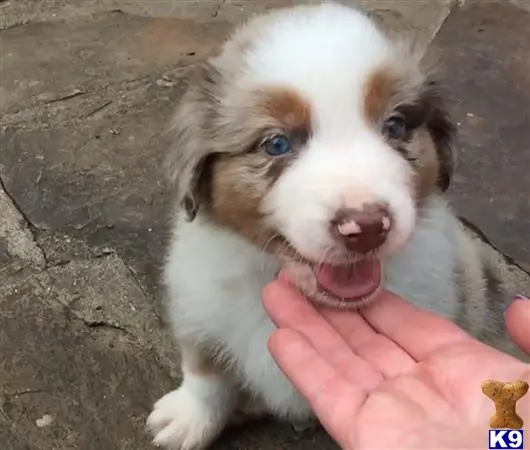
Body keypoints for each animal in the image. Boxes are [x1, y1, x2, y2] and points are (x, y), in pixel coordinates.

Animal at [146, 1, 512, 448]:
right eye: (276, 143)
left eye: (395, 126)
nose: (367, 227)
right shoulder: (199, 302)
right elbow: (204, 371)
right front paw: (189, 418)